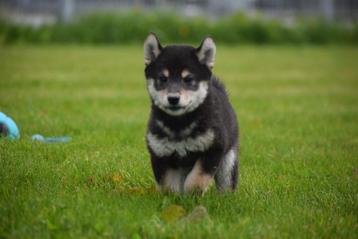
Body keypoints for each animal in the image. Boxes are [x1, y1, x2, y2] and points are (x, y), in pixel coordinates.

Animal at [144, 33, 239, 194]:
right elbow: (168, 186)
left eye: (188, 79)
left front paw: (192, 194)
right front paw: (173, 198)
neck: (179, 124)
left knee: (226, 184)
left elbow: (196, 179)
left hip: (228, 162)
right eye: (163, 78)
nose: (173, 98)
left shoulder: (213, 149)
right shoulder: (160, 153)